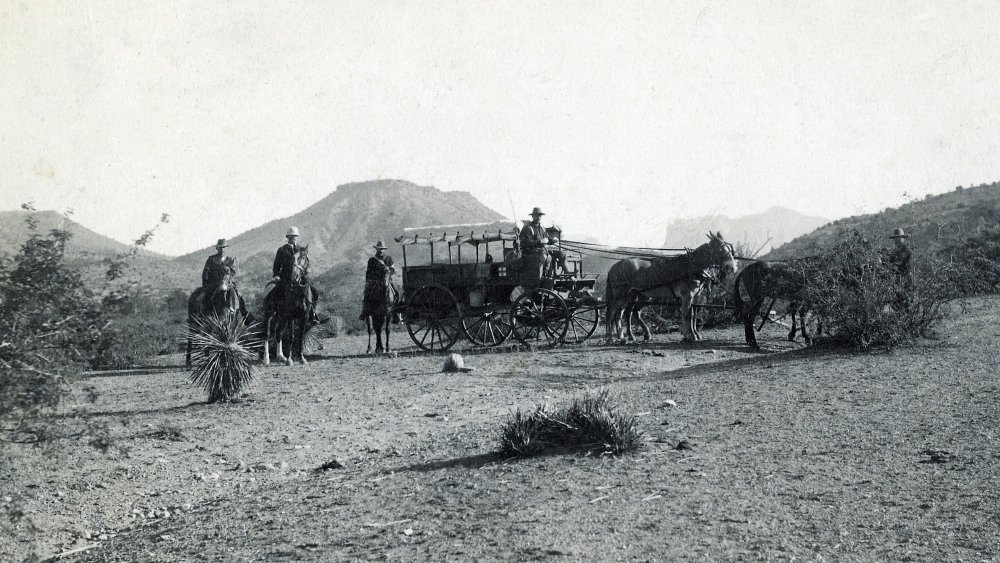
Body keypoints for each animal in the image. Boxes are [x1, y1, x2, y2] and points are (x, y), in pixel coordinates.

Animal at [604, 230, 740, 344]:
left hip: (633, 296)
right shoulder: (687, 296)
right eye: (720, 250)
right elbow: (687, 315)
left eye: (729, 248)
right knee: (612, 312)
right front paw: (689, 335)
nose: (733, 268)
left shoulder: (695, 296)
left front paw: (695, 334)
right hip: (620, 295)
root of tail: (614, 266)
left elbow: (693, 315)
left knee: (624, 313)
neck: (692, 265)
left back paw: (625, 336)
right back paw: (610, 337)